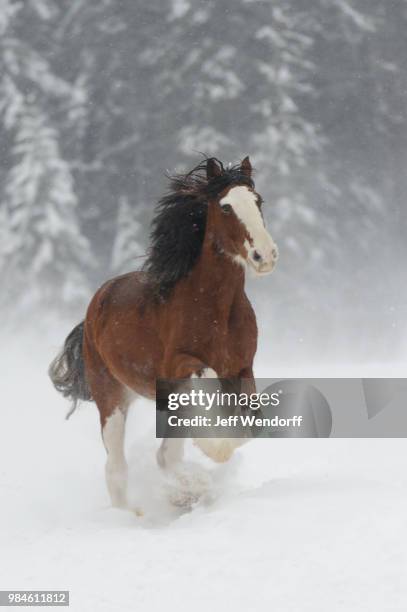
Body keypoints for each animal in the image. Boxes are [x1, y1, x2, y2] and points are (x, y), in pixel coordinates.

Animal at [49, 155, 278, 510]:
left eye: (258, 201)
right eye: (226, 206)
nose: (264, 255)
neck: (216, 309)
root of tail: (97, 301)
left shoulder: (242, 367)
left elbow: (250, 421)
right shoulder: (178, 365)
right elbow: (206, 379)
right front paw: (215, 449)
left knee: (164, 456)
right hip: (111, 397)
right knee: (117, 468)